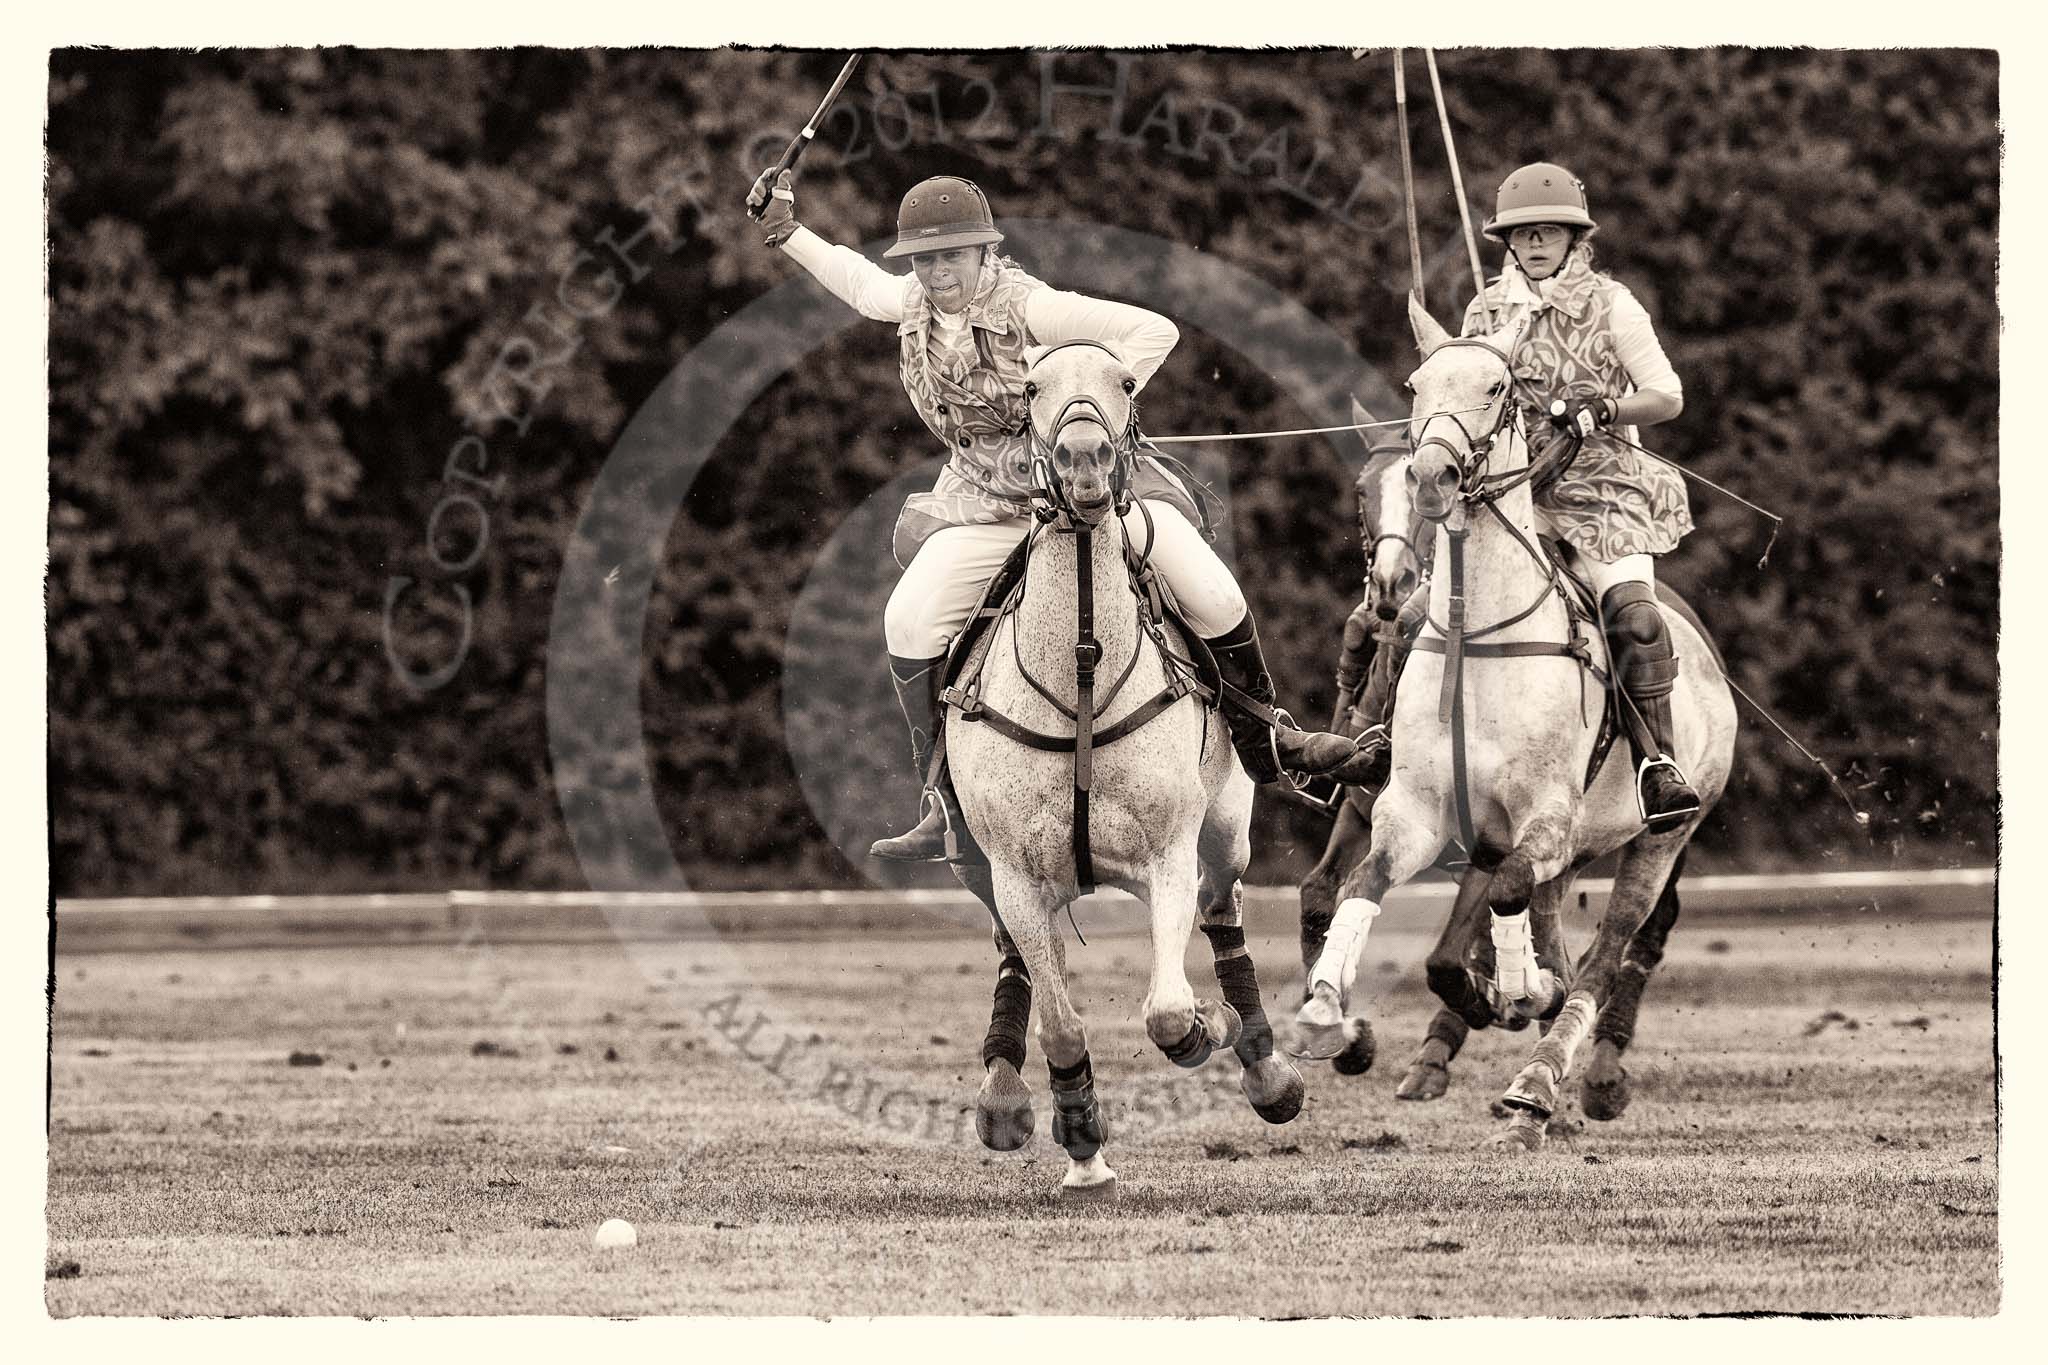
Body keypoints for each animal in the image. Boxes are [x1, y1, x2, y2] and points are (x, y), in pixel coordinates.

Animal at [942, 339, 1294, 1195]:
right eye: (1032, 386)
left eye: (1126, 383)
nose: (1084, 462)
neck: (1081, 662)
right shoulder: (1016, 872)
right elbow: (1063, 1025)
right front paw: (1081, 1143)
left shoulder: (1168, 851)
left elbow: (1167, 1011)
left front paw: (1208, 1023)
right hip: (980, 864)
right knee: (1015, 953)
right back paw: (1005, 1094)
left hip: (1226, 826)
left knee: (1224, 905)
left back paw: (1264, 1062)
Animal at [1286, 300, 1736, 1154]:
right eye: (1417, 384)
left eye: (1498, 386)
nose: (1432, 476)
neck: (1481, 634)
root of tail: (1706, 653)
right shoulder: (1411, 811)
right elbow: (1356, 887)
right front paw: (1328, 1011)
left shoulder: (1541, 821)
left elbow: (1501, 901)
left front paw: (1515, 993)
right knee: (1556, 930)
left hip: (1661, 839)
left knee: (1610, 953)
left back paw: (1545, 1083)